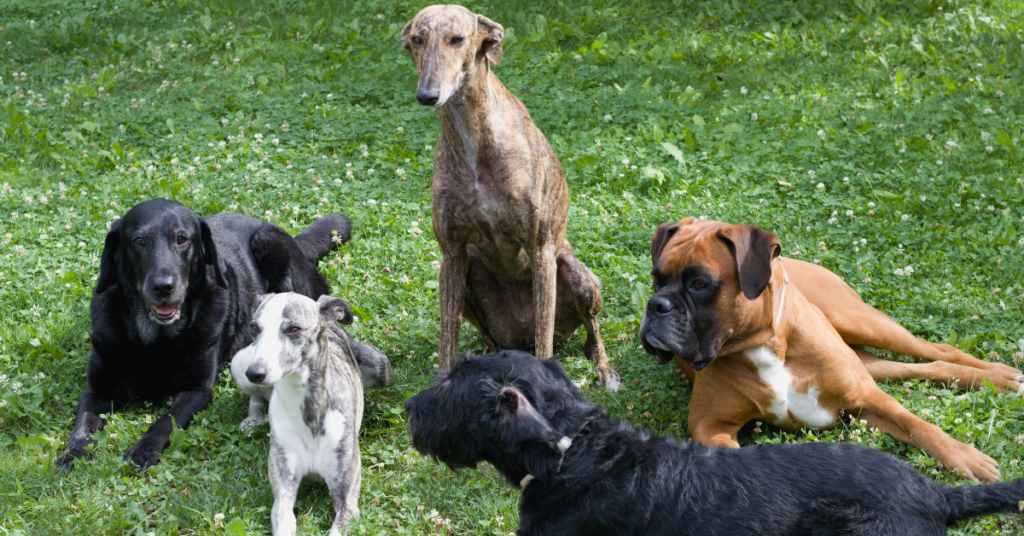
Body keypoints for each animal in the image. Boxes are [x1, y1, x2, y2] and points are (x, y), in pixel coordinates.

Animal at [58, 197, 352, 469]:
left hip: (274, 248)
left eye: (181, 239)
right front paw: (73, 453)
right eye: (138, 241)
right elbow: (83, 424)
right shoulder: (97, 389)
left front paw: (143, 448)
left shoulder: (197, 389)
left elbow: (166, 420)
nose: (163, 286)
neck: (153, 342)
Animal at [241, 293, 385, 536]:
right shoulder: (282, 494)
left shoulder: (348, 502)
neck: (308, 411)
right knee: (256, 397)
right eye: (254, 327)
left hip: (381, 366)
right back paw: (253, 419)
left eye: (294, 329)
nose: (255, 373)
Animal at [634, 216, 1019, 483]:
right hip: (868, 362)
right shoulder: (709, 425)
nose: (656, 306)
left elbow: (919, 425)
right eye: (657, 278)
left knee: (939, 349)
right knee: (921, 368)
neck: (765, 345)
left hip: (862, 323)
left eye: (700, 284)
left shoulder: (866, 398)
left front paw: (965, 457)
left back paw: (1002, 376)